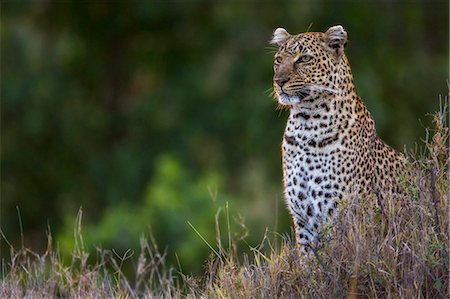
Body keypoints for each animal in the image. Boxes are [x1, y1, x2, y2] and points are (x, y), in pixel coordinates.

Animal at [270, 25, 408, 251]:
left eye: (303, 59)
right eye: (278, 60)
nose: (279, 81)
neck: (306, 124)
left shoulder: (341, 213)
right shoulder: (303, 219)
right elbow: (309, 259)